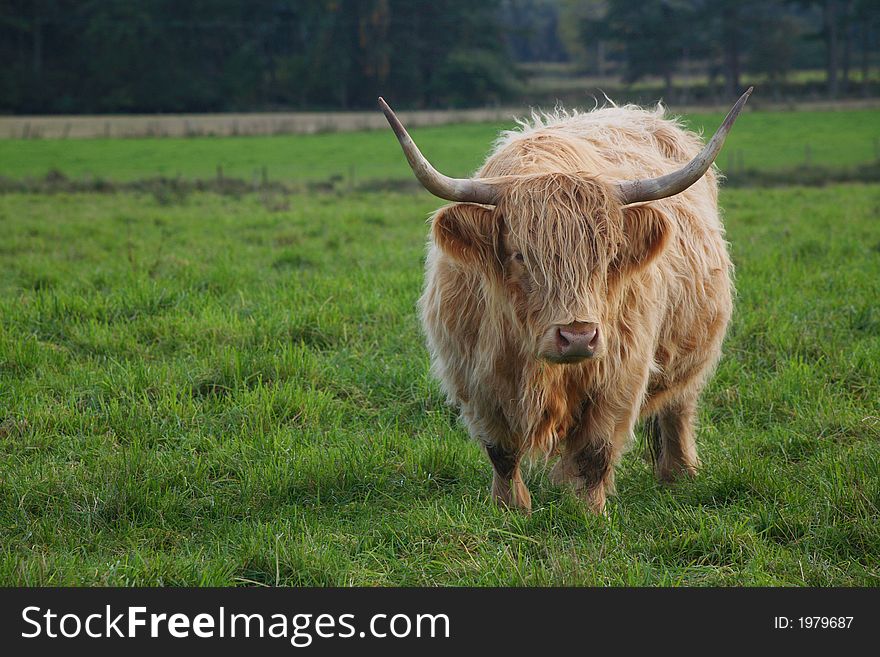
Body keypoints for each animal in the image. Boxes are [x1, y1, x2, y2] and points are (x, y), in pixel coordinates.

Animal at [376, 87, 748, 512]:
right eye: (519, 255)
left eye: (608, 254)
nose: (578, 337)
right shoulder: (475, 377)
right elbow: (501, 452)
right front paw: (510, 507)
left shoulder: (620, 374)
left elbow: (594, 452)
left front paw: (590, 512)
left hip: (690, 352)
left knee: (679, 406)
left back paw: (680, 474)